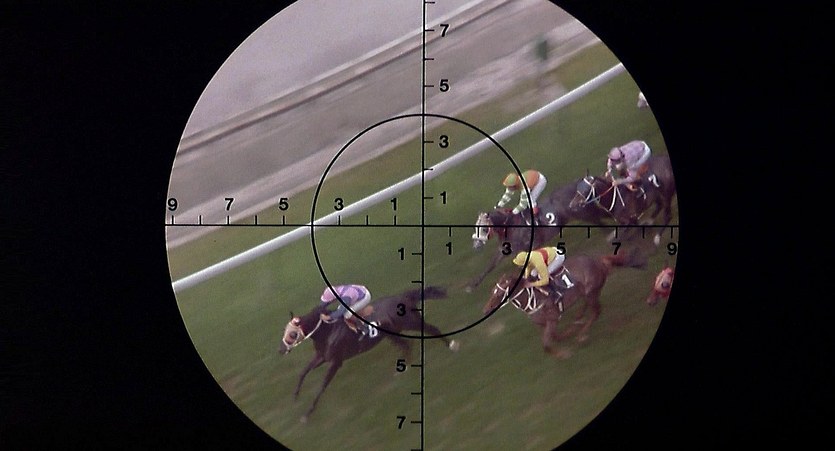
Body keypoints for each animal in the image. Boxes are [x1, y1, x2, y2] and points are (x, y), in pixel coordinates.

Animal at [278, 286, 457, 422]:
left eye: (292, 334)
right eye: (285, 330)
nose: (280, 350)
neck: (327, 331)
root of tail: (404, 296)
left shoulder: (336, 361)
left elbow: (322, 386)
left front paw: (307, 413)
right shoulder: (322, 357)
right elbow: (303, 372)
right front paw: (295, 396)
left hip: (411, 323)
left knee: (432, 330)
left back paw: (452, 346)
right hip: (392, 334)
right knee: (406, 345)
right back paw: (403, 370)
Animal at [482, 252, 644, 356]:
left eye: (498, 293)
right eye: (491, 292)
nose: (486, 309)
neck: (532, 299)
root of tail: (599, 260)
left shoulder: (552, 319)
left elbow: (547, 344)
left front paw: (564, 353)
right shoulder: (545, 322)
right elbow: (555, 337)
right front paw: (569, 332)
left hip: (592, 291)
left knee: (596, 311)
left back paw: (582, 335)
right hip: (589, 292)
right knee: (588, 307)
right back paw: (578, 320)